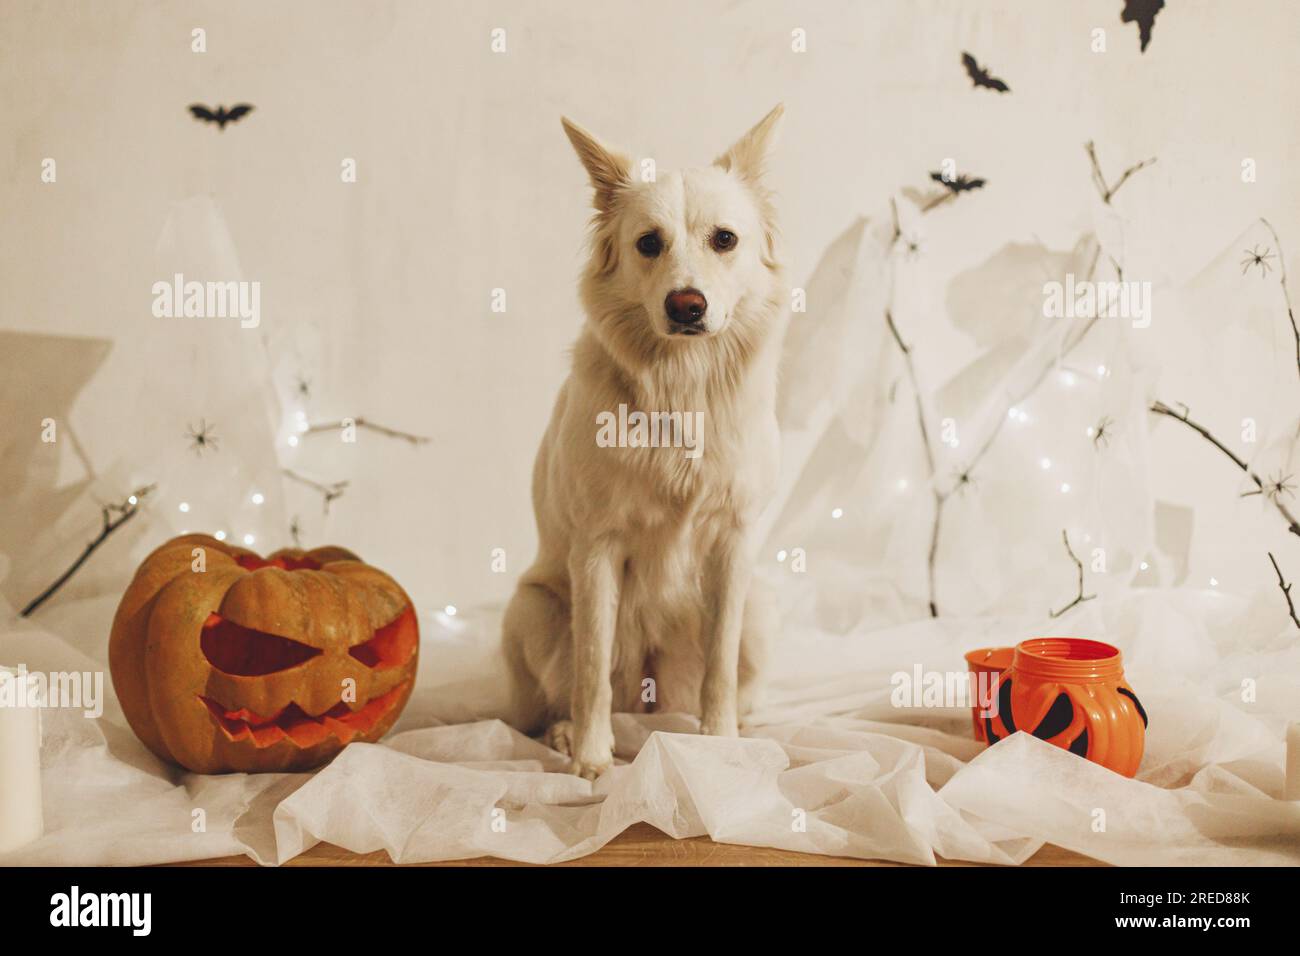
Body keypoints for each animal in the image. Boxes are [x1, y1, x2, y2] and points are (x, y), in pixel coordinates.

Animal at [496, 106, 780, 780]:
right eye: (649, 243)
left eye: (724, 240)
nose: (686, 305)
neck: (681, 387)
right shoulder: (597, 549)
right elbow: (592, 666)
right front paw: (593, 759)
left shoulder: (733, 545)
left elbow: (719, 668)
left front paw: (722, 746)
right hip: (532, 608)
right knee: (552, 701)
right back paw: (565, 733)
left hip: (760, 608)